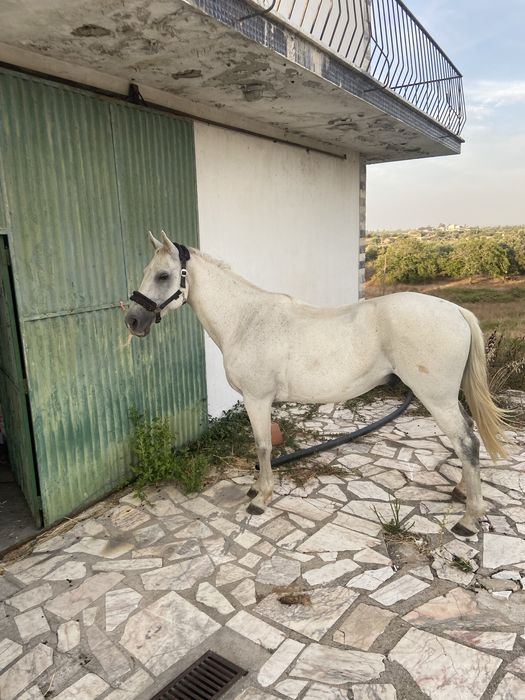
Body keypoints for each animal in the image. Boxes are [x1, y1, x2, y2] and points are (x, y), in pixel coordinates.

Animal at [125, 232, 508, 536]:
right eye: (146, 272)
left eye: (163, 275)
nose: (132, 320)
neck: (246, 320)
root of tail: (455, 311)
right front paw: (255, 489)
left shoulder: (257, 399)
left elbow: (262, 447)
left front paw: (261, 498)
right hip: (447, 398)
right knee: (468, 438)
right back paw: (461, 493)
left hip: (437, 398)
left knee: (466, 443)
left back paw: (469, 519)